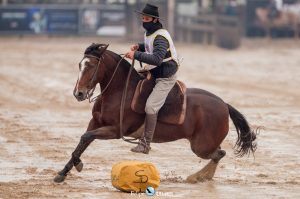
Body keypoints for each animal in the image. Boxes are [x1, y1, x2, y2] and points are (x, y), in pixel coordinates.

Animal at [53, 43, 255, 183]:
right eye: (80, 65)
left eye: (92, 66)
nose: (78, 93)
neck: (120, 91)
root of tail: (224, 104)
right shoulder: (95, 123)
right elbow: (83, 142)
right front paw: (63, 173)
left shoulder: (115, 130)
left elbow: (86, 138)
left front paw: (77, 165)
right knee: (219, 154)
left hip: (201, 146)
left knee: (219, 154)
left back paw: (198, 176)